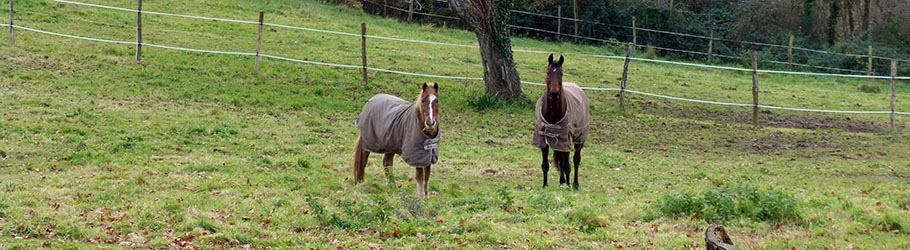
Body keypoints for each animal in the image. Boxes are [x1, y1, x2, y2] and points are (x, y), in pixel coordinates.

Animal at [532, 54, 596, 190]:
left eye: (561, 73)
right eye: (548, 72)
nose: (554, 94)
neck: (553, 115)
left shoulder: (566, 139)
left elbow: (567, 165)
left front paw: (568, 186)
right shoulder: (544, 140)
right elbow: (546, 165)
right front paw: (545, 185)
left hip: (579, 139)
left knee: (576, 160)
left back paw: (575, 184)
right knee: (561, 160)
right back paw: (562, 181)